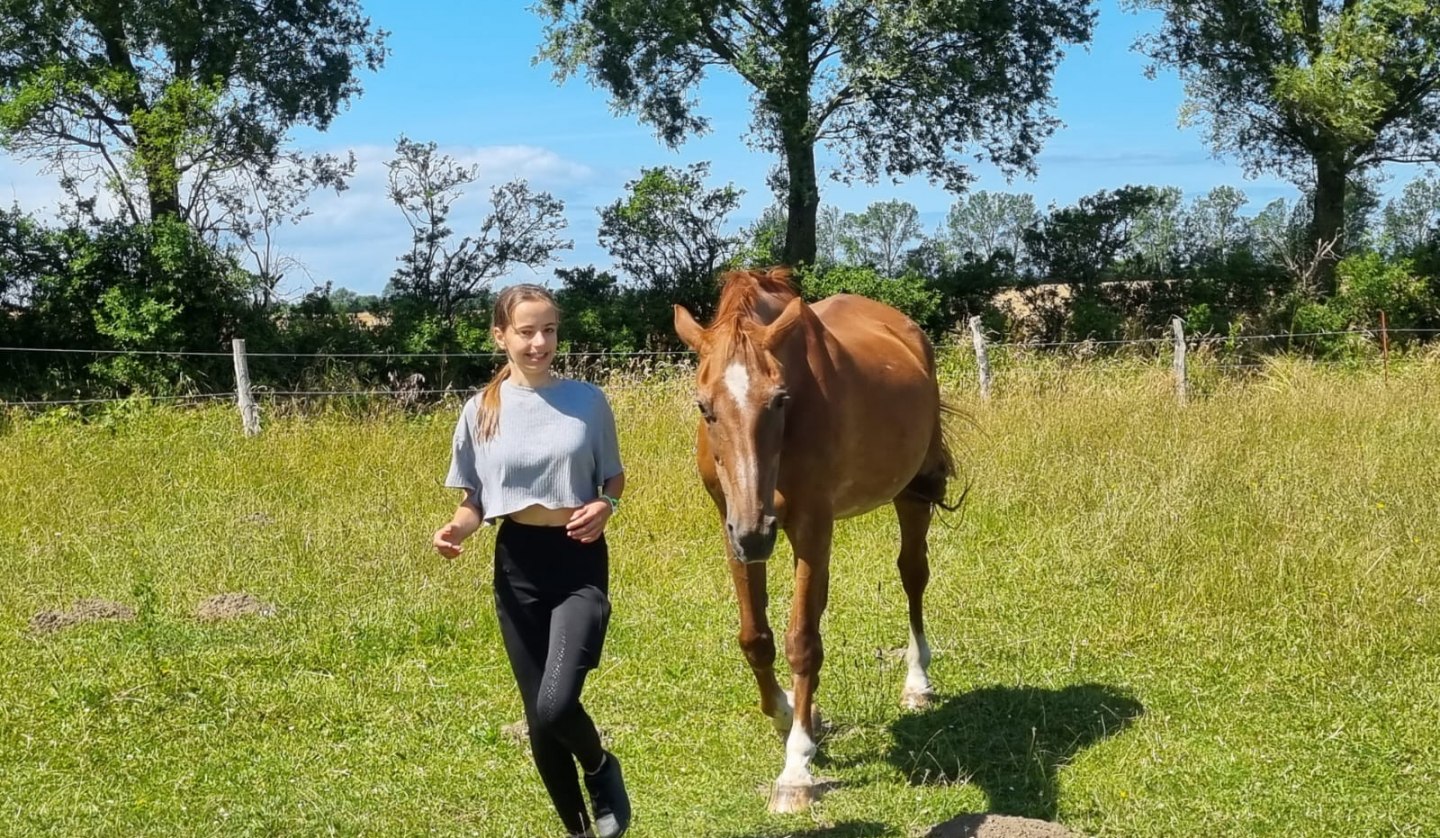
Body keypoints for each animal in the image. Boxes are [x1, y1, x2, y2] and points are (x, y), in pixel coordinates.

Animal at [673, 269, 956, 812]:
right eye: (704, 407)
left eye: (780, 399)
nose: (756, 532)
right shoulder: (733, 527)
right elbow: (756, 637)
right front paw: (789, 713)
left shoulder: (809, 526)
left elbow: (802, 642)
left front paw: (796, 768)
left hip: (911, 493)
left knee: (914, 575)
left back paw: (918, 682)